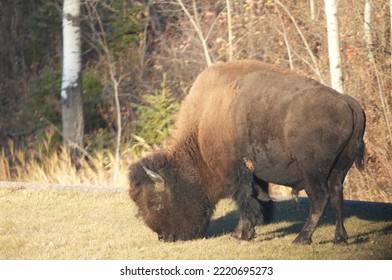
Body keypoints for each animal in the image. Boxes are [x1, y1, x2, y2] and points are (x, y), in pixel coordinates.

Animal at [128, 60, 364, 244]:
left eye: (156, 203)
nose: (165, 237)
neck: (203, 121)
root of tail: (347, 102)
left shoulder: (236, 175)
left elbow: (246, 203)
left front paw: (244, 235)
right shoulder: (254, 175)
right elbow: (255, 200)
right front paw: (239, 233)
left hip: (312, 173)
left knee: (320, 198)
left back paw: (302, 238)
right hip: (338, 170)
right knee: (337, 196)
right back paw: (339, 238)